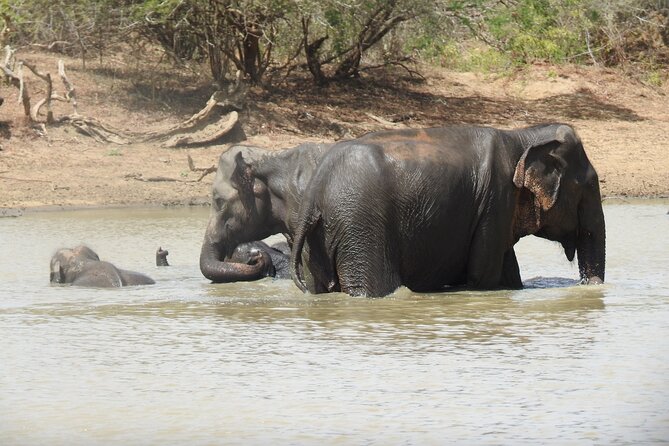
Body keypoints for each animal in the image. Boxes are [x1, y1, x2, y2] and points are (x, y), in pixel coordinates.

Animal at [290, 123, 605, 297]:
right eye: (590, 185)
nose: (589, 285)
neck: (522, 137)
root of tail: (315, 193)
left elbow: (507, 272)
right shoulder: (495, 201)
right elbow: (483, 274)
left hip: (316, 242)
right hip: (361, 227)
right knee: (374, 287)